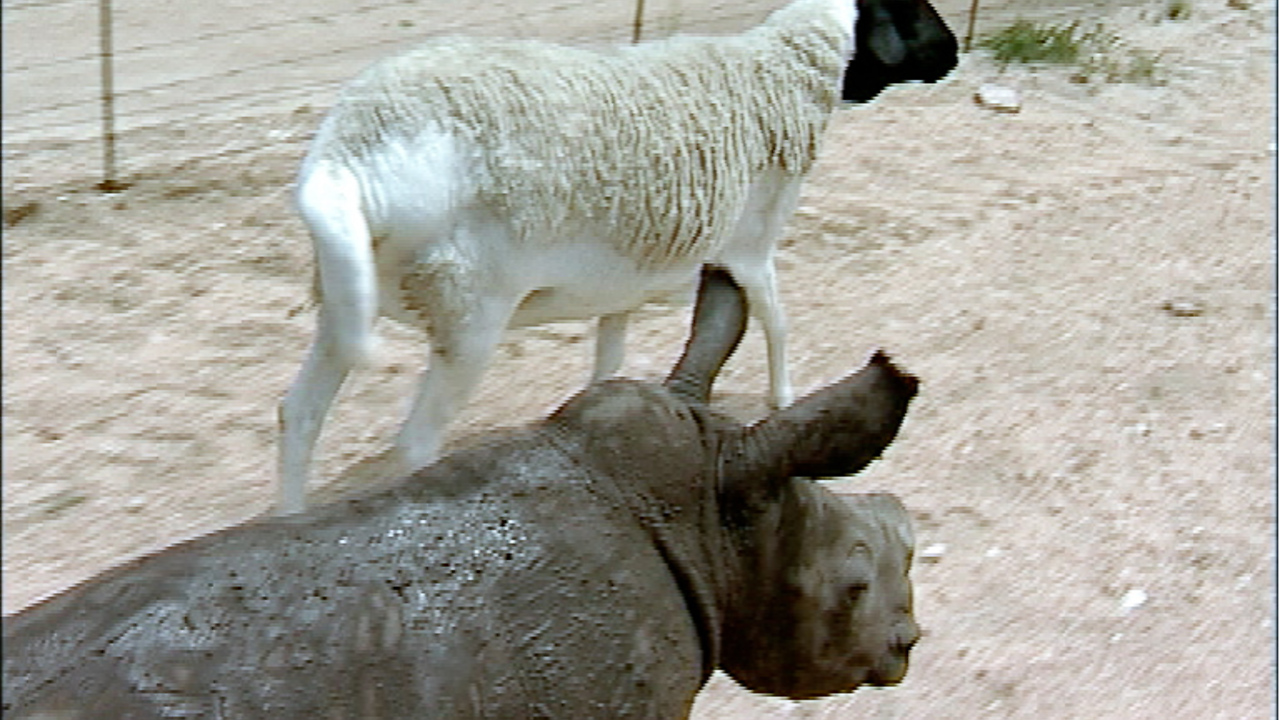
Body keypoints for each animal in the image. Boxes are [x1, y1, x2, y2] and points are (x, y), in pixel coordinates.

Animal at [280, 0, 957, 509]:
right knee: (416, 443)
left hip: (345, 300)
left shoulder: (622, 281)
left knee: (299, 415)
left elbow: (611, 357)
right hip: (470, 310)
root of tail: (348, 155)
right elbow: (777, 321)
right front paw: (782, 398)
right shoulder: (750, 246)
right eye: (914, 8)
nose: (952, 54)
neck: (779, 72)